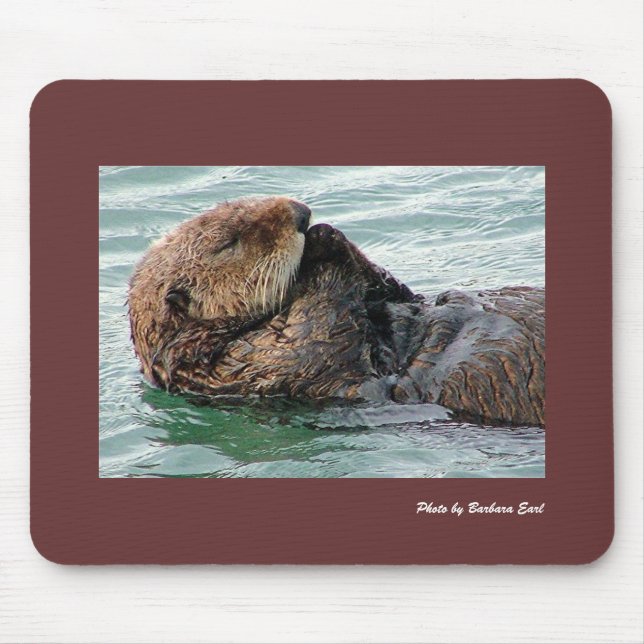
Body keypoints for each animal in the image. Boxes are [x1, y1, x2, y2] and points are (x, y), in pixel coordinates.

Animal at [128, 197, 545, 427]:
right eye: (229, 242)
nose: (300, 213)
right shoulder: (257, 362)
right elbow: (323, 330)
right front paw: (319, 248)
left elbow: (393, 290)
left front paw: (326, 235)